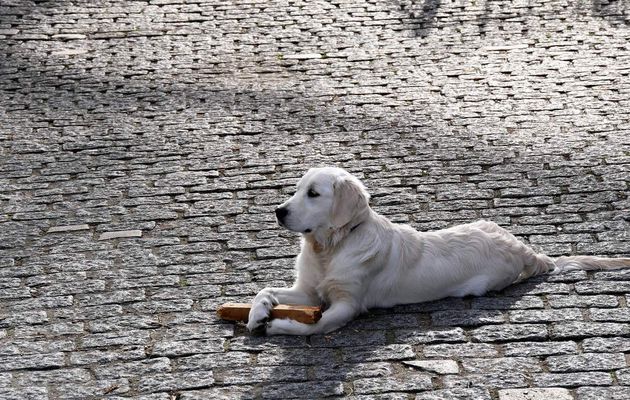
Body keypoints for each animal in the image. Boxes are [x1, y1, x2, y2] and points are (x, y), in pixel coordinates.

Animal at [249, 167, 630, 336]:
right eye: (297, 189)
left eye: (313, 194)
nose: (278, 211)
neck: (329, 248)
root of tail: (525, 248)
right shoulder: (308, 290)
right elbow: (264, 290)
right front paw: (257, 313)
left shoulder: (348, 304)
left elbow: (317, 325)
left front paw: (278, 325)